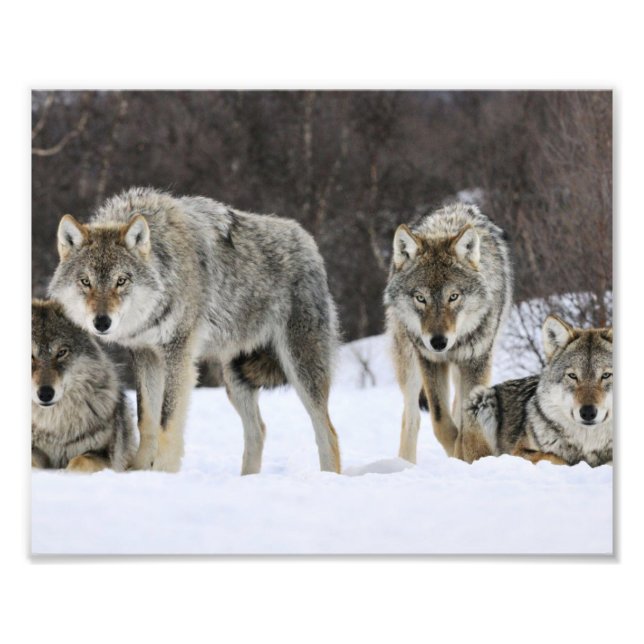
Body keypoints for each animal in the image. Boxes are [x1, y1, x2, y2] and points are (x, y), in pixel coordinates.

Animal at [48, 187, 341, 474]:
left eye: (121, 281)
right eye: (85, 281)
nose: (101, 322)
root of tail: (308, 241)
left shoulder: (178, 353)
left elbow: (167, 421)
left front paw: (163, 473)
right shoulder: (145, 355)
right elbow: (146, 420)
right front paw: (139, 470)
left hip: (300, 369)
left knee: (328, 432)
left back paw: (328, 476)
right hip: (235, 379)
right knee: (258, 430)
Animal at [384, 202, 512, 462]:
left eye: (453, 297)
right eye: (420, 298)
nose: (438, 342)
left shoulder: (476, 360)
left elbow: (467, 422)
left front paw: (470, 455)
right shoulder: (430, 360)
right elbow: (441, 421)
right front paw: (456, 451)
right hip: (409, 365)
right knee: (411, 417)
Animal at [462, 315, 613, 466]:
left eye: (606, 375)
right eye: (572, 376)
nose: (588, 412)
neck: (587, 445)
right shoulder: (518, 452)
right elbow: (556, 457)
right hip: (481, 398)